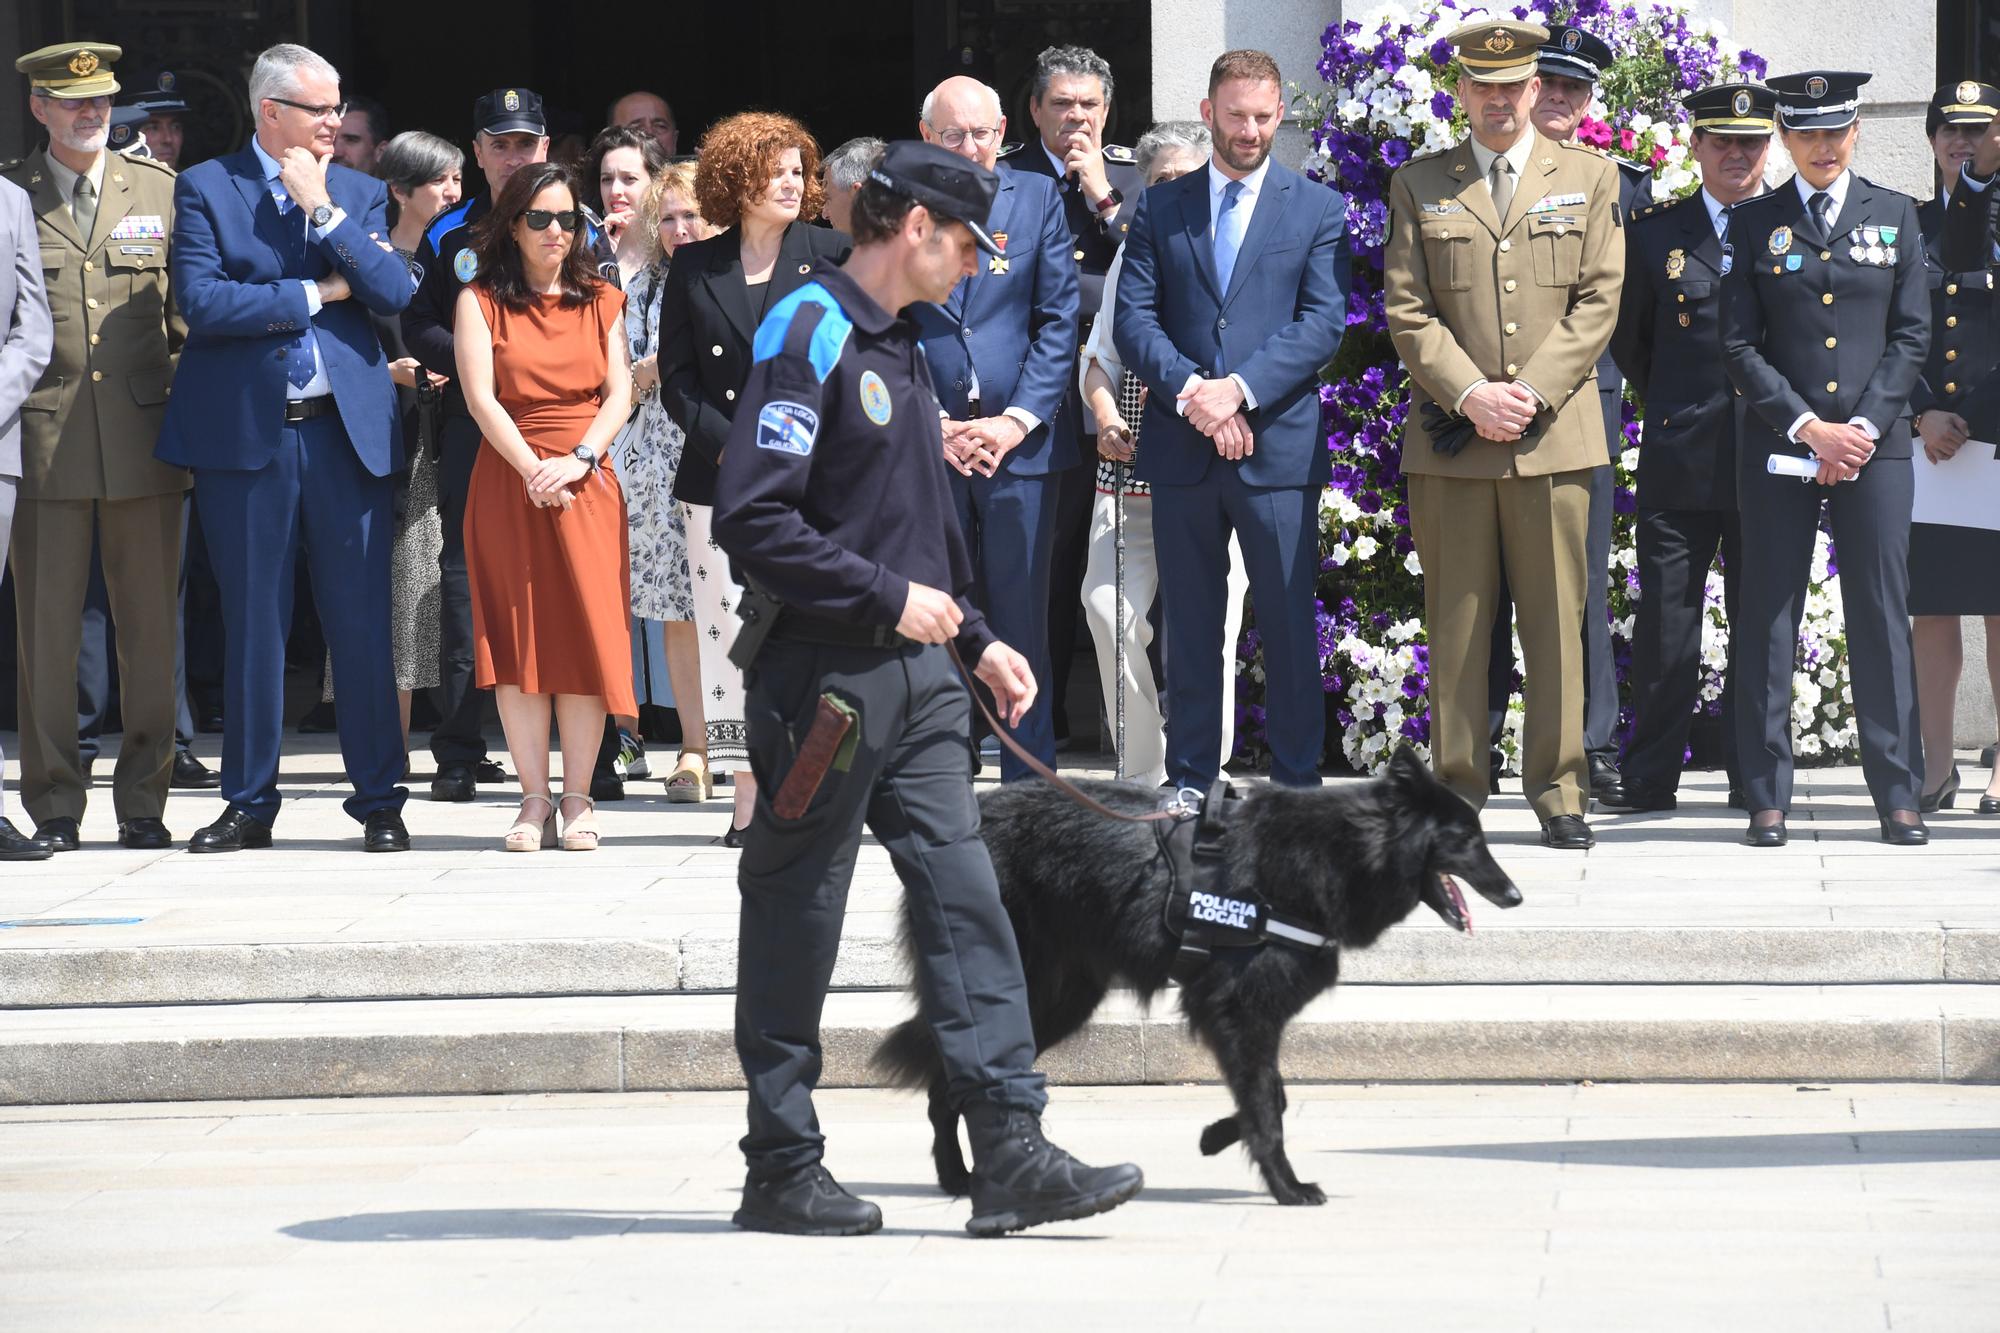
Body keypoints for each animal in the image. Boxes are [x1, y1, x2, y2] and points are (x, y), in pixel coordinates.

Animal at [716, 140, 1144, 1232]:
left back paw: (997, 1169)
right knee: (793, 913)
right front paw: (919, 609)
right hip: (828, 761)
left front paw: (1031, 1164)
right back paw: (796, 1183)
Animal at [876, 748, 1512, 1200]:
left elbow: (1273, 1096)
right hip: (1031, 990)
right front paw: (1286, 1186)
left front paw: (1216, 1137)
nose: (1515, 895)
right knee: (950, 1078)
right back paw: (961, 1178)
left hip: (1059, 1001)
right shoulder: (1236, 1010)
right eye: (1467, 840)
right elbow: (1266, 1103)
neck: (1335, 853)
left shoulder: (1239, 1017)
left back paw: (969, 1178)